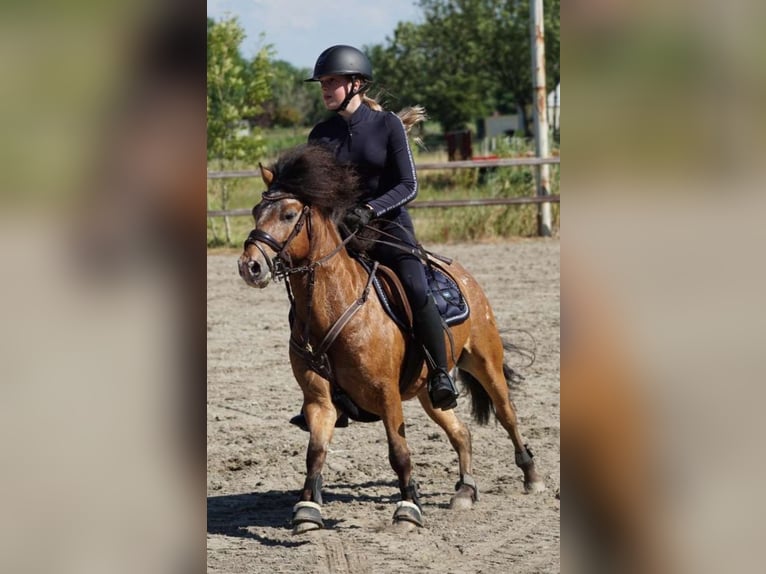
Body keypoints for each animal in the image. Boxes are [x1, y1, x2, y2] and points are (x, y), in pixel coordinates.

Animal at [240, 144, 544, 536]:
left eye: (289, 213)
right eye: (256, 211)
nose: (249, 266)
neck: (334, 307)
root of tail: (463, 274)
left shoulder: (386, 393)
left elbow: (399, 452)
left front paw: (408, 508)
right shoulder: (318, 399)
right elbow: (315, 451)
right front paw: (307, 509)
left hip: (485, 362)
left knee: (507, 415)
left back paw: (531, 475)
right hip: (430, 391)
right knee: (461, 431)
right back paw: (464, 490)